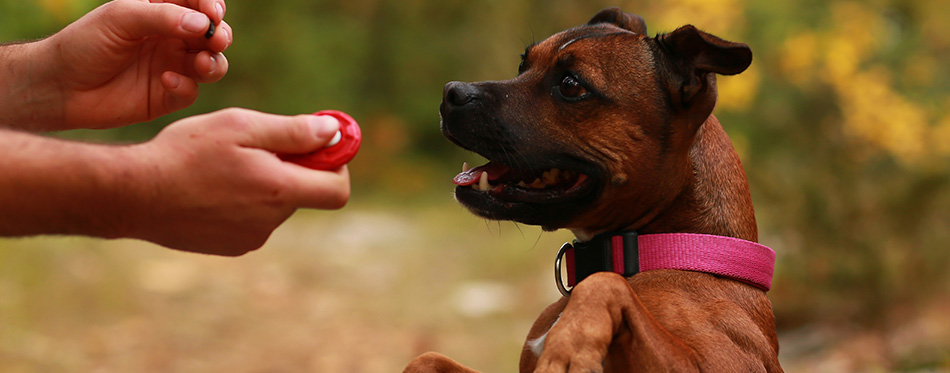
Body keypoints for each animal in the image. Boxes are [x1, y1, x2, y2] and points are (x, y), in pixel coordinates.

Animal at [406, 7, 784, 370]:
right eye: (523, 64)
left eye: (571, 85)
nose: (451, 92)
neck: (664, 248)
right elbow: (426, 358)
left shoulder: (723, 361)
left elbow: (603, 283)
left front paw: (567, 346)